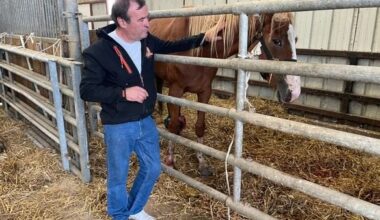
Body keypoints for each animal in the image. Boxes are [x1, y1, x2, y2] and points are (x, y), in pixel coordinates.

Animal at [150, 12, 302, 176]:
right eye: (276, 40)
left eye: (295, 40)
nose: (294, 92)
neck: (199, 52)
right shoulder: (175, 90)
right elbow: (173, 126)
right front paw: (170, 160)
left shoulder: (204, 92)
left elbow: (199, 126)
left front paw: (202, 162)